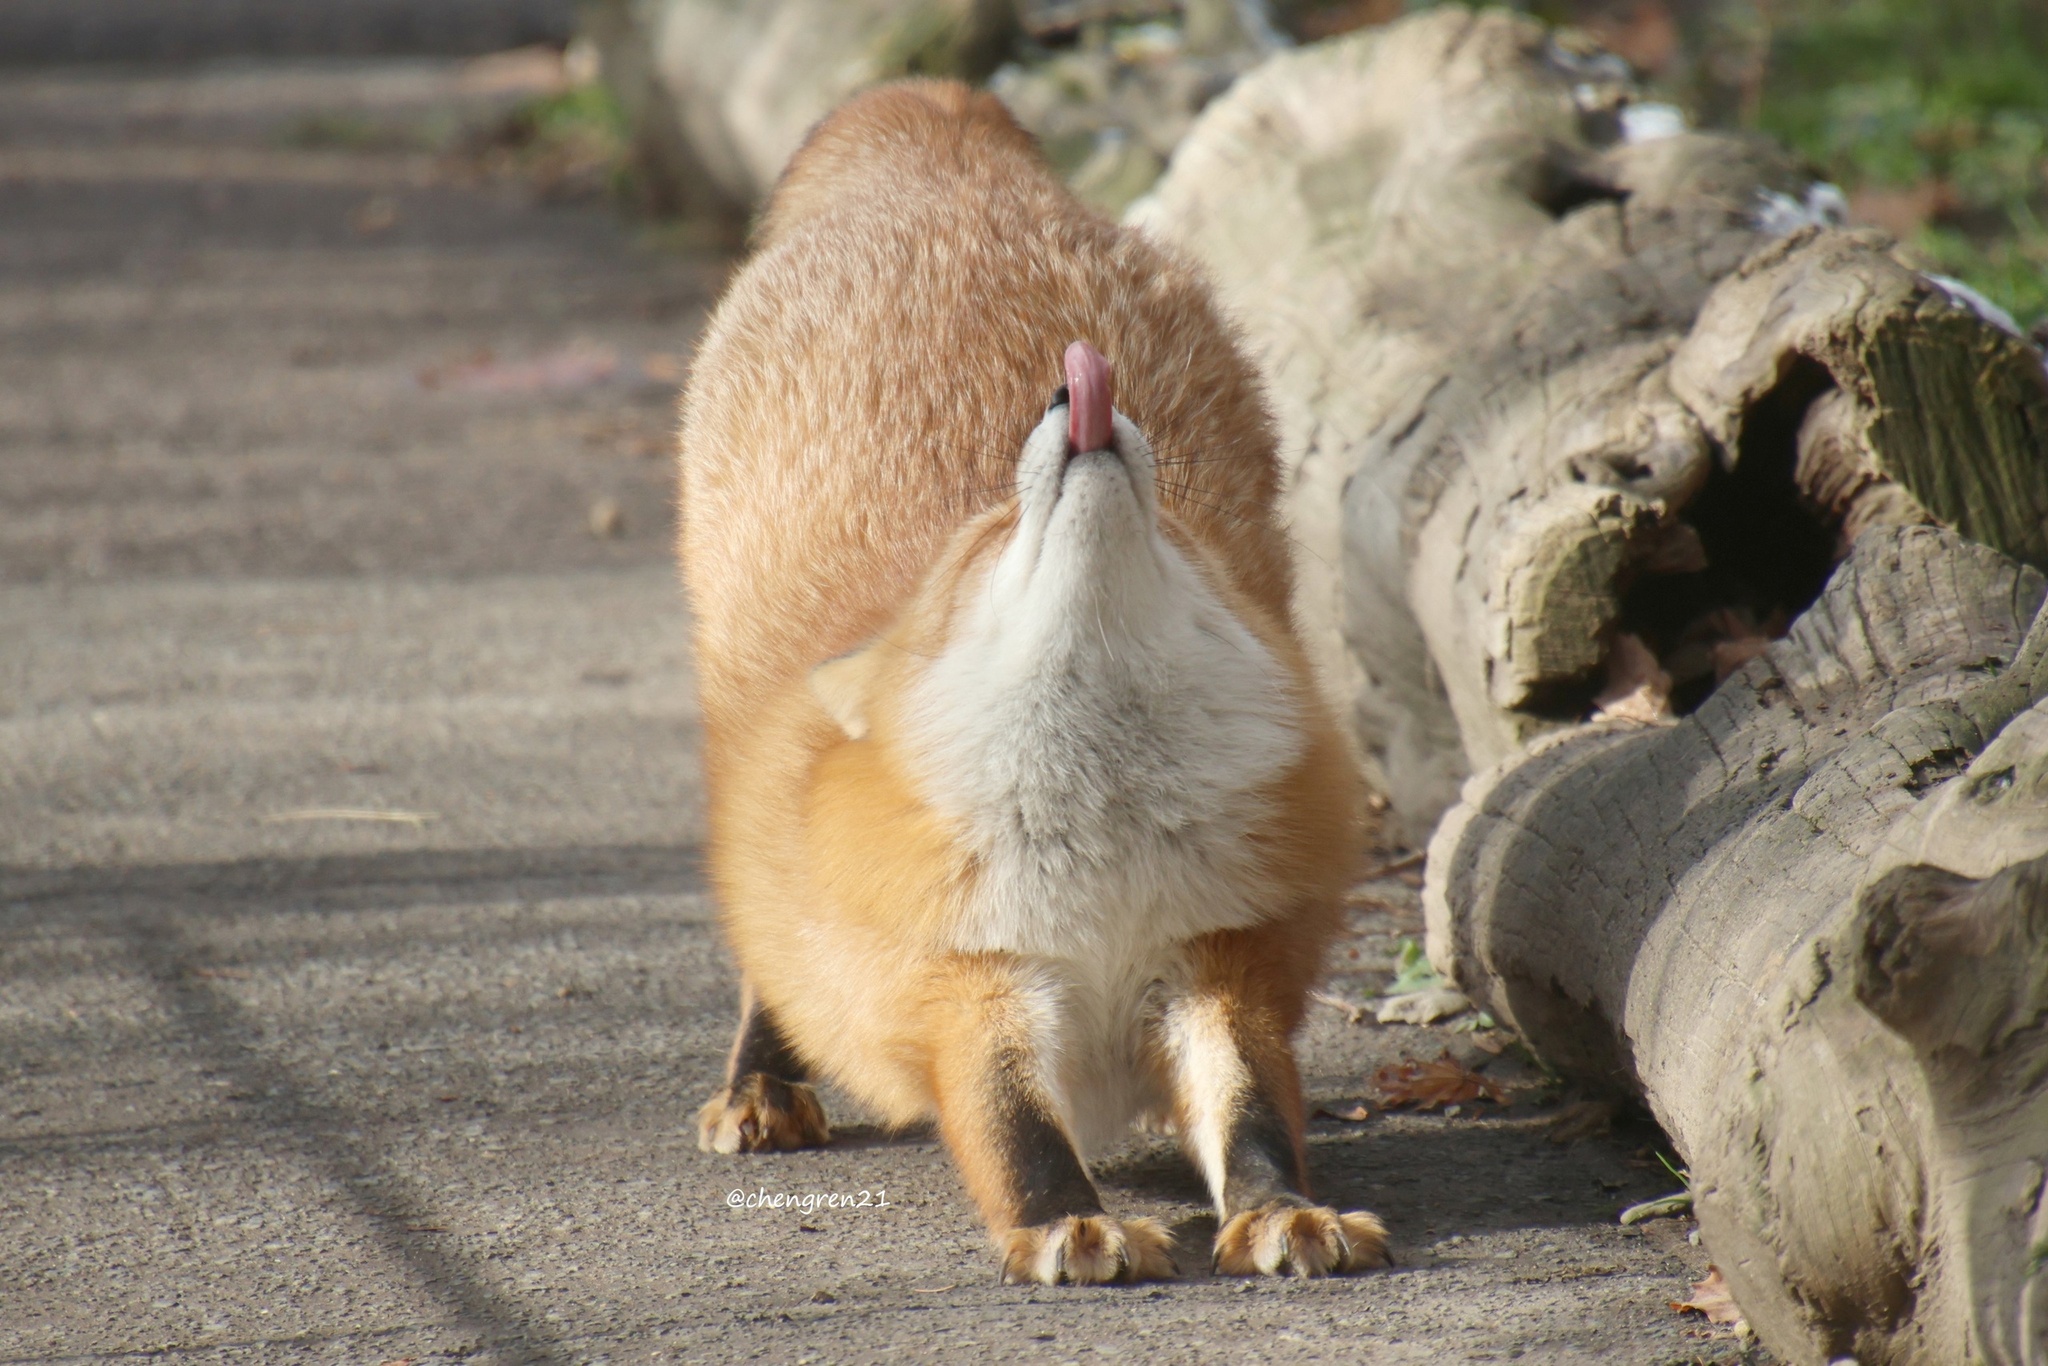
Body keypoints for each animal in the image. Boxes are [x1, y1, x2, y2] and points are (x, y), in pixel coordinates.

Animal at [679, 82, 1384, 1286]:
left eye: (1177, 542)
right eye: (985, 539)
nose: (1072, 392)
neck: (1099, 867)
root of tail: (937, 125)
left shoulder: (1215, 962)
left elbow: (1251, 1114)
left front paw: (1282, 1210)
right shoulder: (970, 983)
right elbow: (1014, 1127)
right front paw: (1066, 1222)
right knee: (763, 931)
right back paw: (761, 1079)